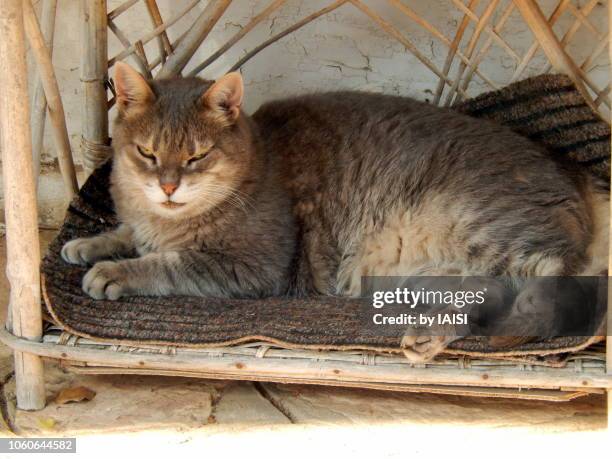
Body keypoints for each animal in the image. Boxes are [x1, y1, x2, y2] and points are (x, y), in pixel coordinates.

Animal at [62, 62, 608, 362]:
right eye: (148, 153)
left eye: (197, 156)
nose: (169, 186)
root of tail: (576, 178)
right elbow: (127, 233)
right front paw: (89, 243)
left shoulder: (249, 266)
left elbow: (166, 263)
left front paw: (114, 271)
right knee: (486, 297)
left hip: (487, 231)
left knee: (544, 295)